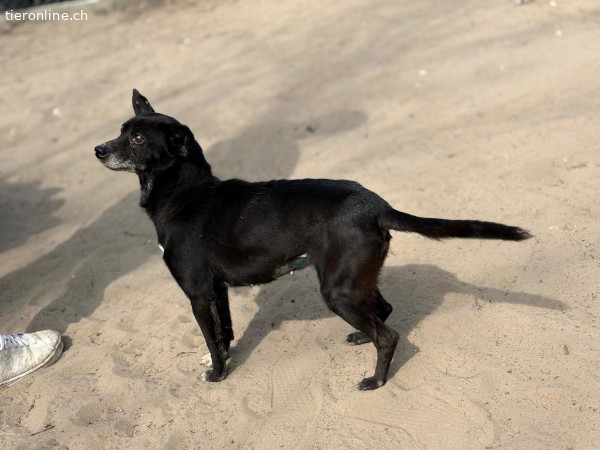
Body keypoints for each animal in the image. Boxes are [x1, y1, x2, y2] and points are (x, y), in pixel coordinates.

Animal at [94, 90, 531, 390]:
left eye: (137, 139)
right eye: (120, 131)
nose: (98, 150)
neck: (185, 194)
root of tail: (376, 205)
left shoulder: (198, 293)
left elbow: (213, 339)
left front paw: (217, 375)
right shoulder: (217, 291)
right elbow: (225, 333)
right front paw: (225, 358)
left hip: (337, 289)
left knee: (388, 335)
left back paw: (375, 380)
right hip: (353, 279)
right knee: (384, 310)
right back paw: (361, 336)